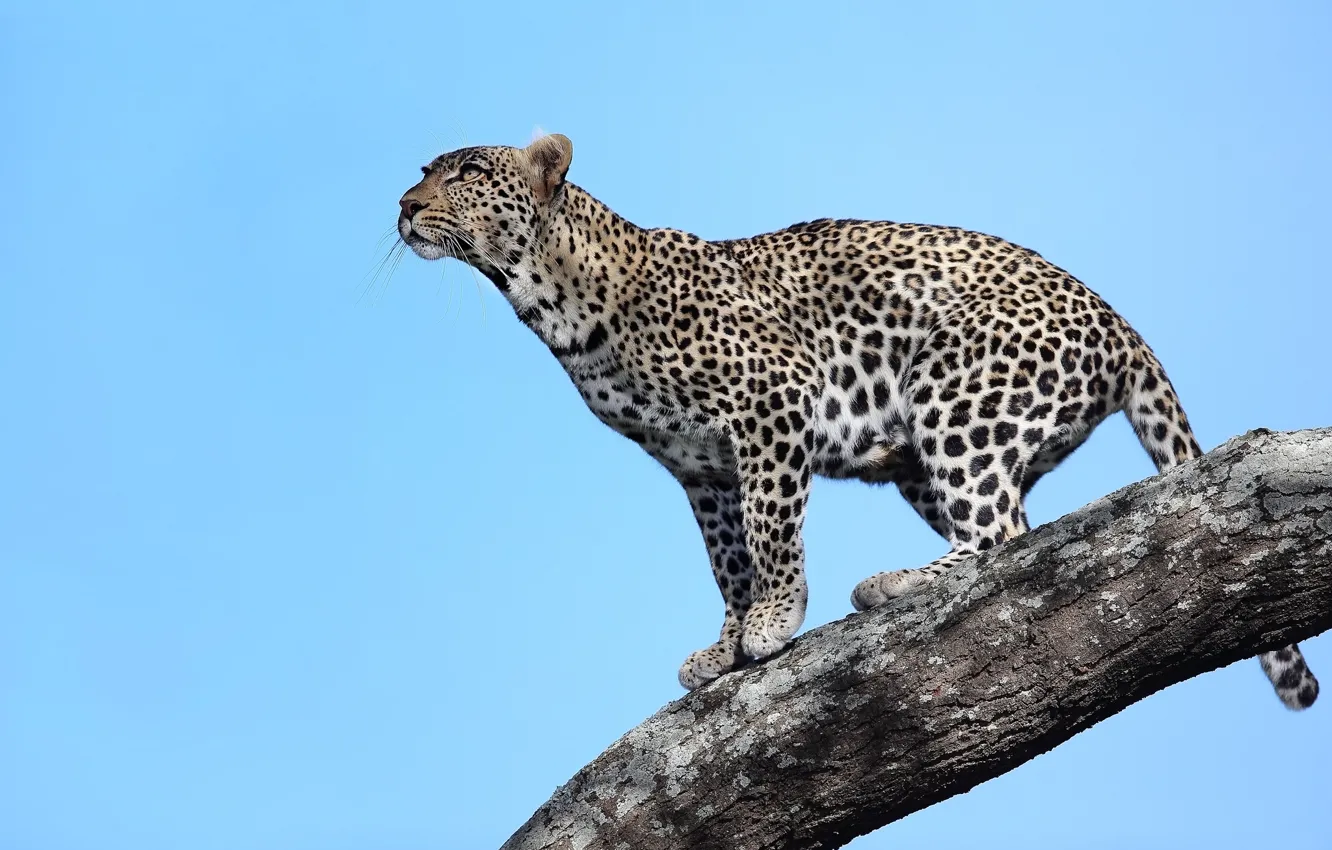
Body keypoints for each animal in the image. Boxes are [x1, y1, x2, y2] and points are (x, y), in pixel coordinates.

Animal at [395, 132, 1318, 710]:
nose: (402, 205)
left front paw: (774, 620)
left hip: (955, 390)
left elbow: (770, 529)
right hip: (933, 454)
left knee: (999, 534)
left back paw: (896, 583)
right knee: (1018, 530)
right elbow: (726, 559)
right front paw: (726, 643)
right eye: (427, 168)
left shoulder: (772, 401)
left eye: (467, 171)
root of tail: (1118, 321)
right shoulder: (699, 468)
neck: (552, 299)